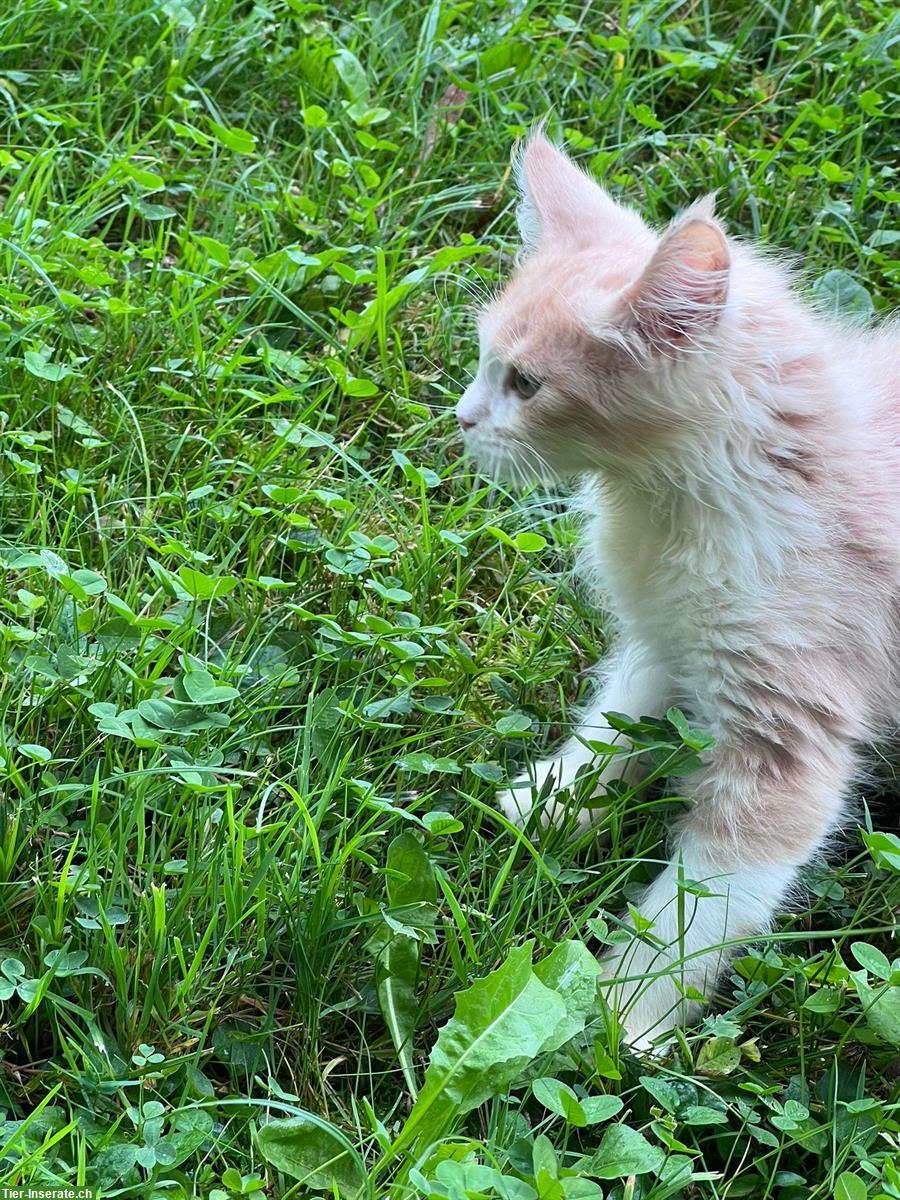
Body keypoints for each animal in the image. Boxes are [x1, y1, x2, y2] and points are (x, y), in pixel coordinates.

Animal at [458, 133, 900, 1051]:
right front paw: (548, 803)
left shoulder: (787, 742)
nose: (461, 419)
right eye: (485, 361)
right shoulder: (665, 636)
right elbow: (613, 724)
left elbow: (702, 910)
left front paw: (626, 1012)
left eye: (525, 384)